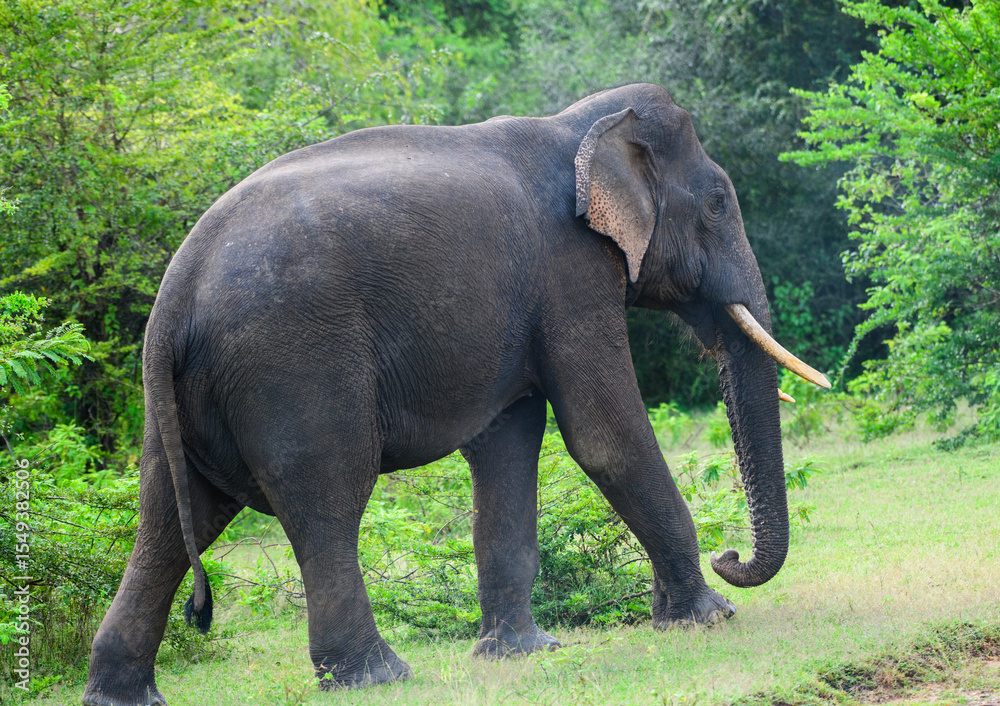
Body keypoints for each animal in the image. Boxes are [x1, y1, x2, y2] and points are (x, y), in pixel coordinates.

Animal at [82, 82, 829, 705]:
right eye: (718, 203)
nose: (730, 558)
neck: (580, 128)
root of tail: (175, 296)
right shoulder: (570, 271)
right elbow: (603, 436)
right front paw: (711, 620)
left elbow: (507, 444)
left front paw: (523, 654)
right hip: (291, 360)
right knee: (326, 496)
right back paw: (378, 677)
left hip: (184, 396)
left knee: (173, 516)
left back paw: (122, 696)